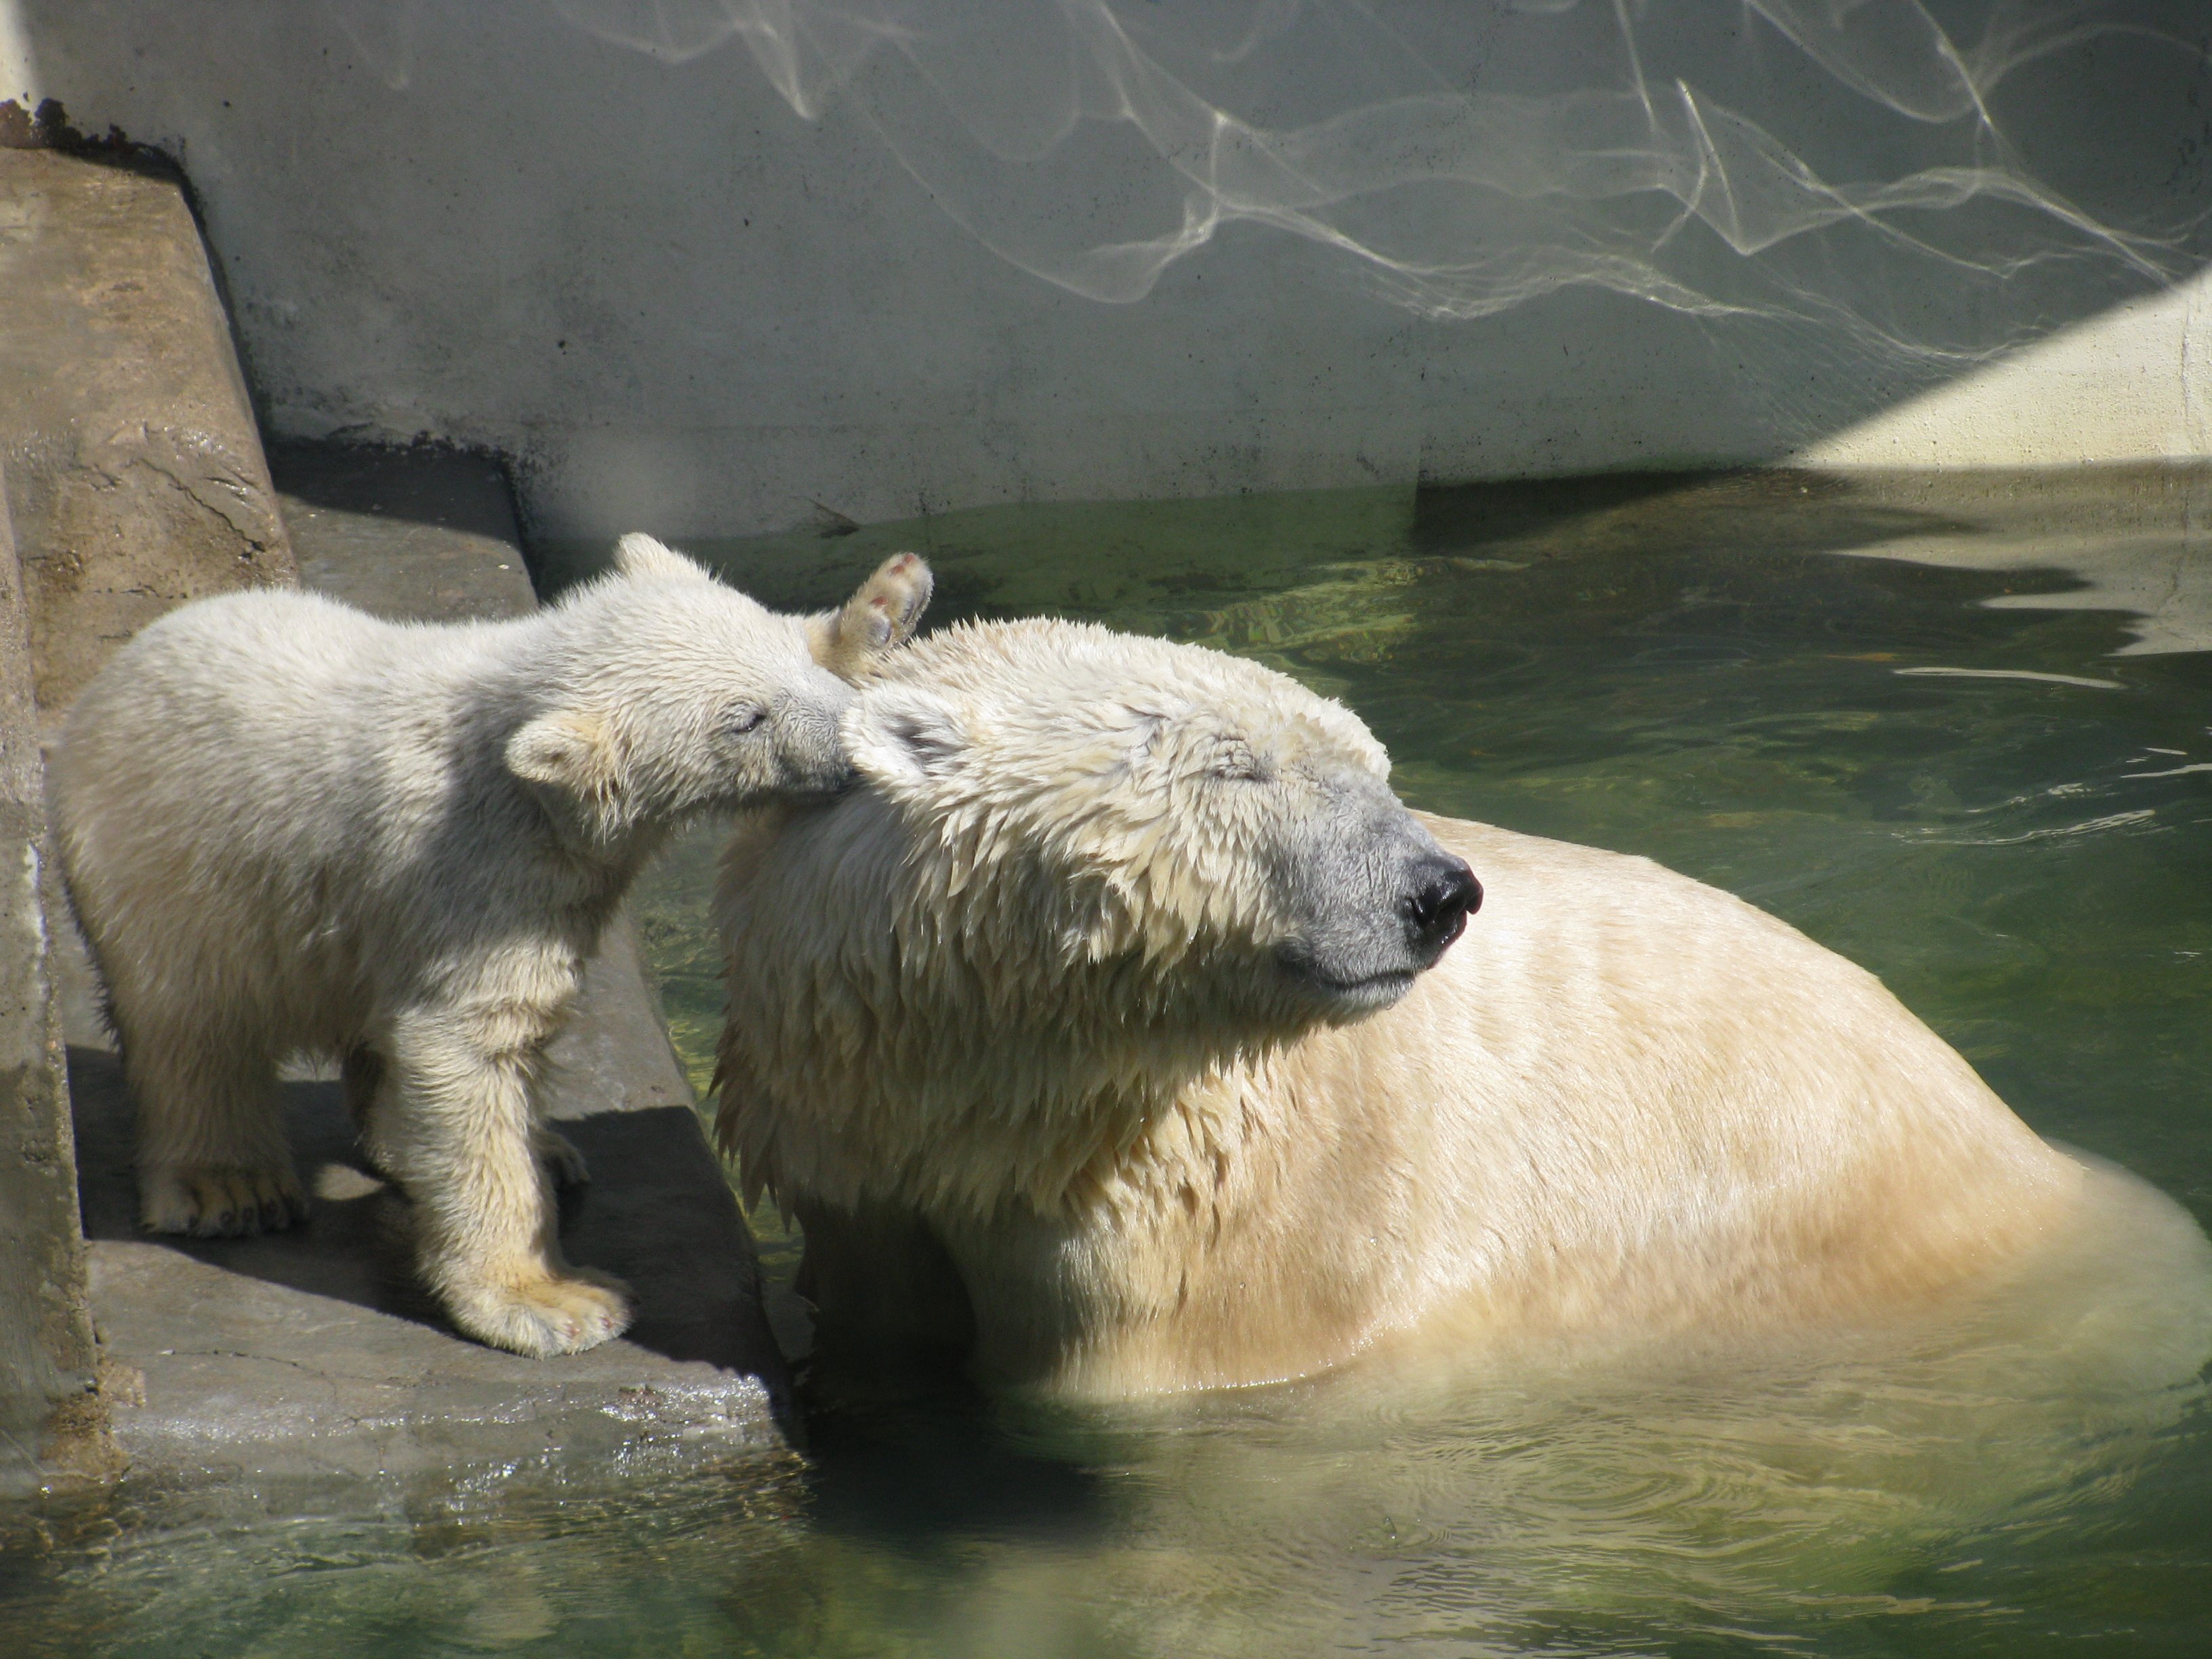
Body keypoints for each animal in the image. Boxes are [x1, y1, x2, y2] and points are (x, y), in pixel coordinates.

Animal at [54, 539, 933, 1353]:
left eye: (788, 660)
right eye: (744, 717)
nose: (850, 741)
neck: (517, 772)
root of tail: (106, 682)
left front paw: (887, 603)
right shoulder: (470, 872)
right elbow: (468, 1045)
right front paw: (554, 1301)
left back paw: (536, 1146)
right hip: (172, 871)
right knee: (192, 1024)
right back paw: (231, 1187)